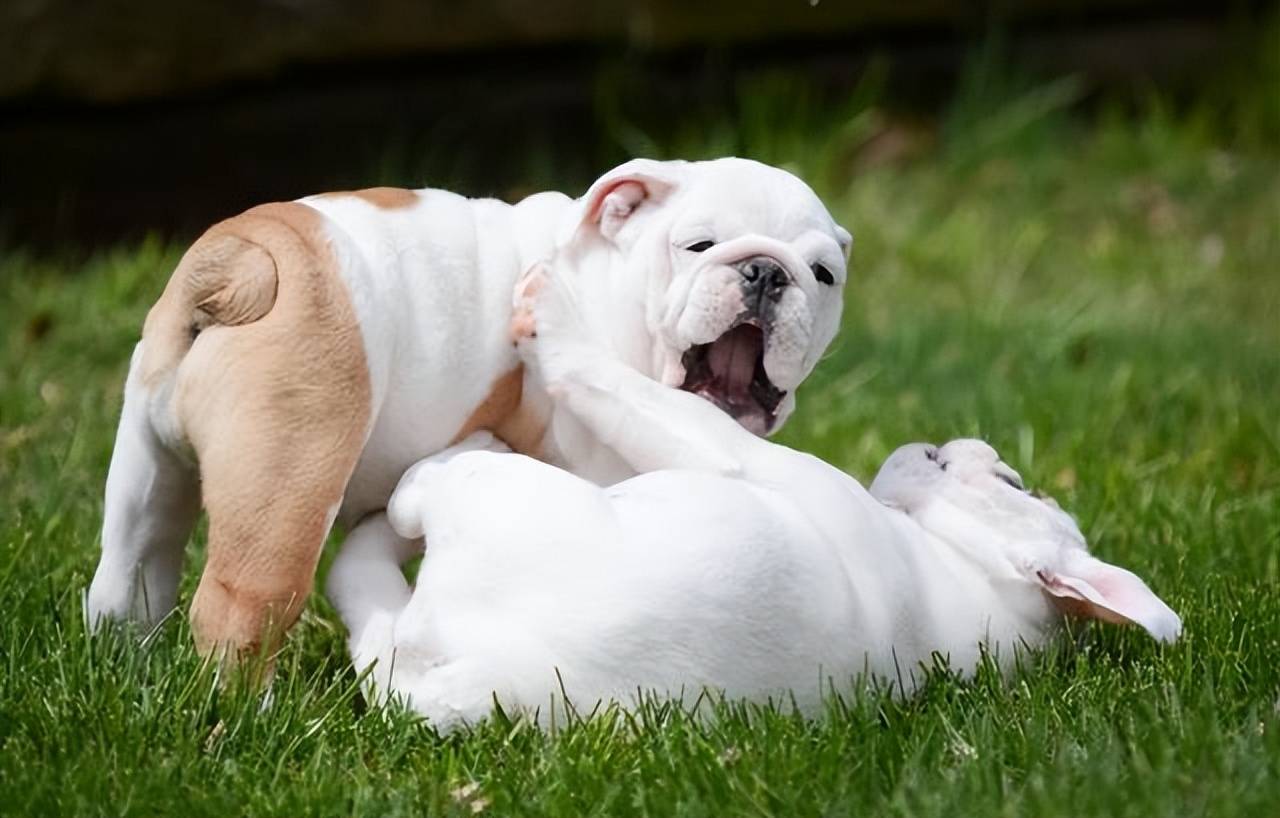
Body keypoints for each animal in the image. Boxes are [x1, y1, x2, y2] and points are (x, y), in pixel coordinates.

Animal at [87, 156, 849, 660]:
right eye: (698, 246)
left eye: (824, 275)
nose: (766, 272)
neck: (603, 281)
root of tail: (247, 257)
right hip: (287, 482)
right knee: (238, 607)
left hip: (146, 463)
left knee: (131, 566)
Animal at [322, 270, 1177, 737]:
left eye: (1010, 485)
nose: (946, 446)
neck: (970, 579)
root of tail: (479, 676)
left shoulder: (728, 450)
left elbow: (612, 382)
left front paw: (557, 319)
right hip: (398, 654)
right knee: (361, 594)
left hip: (488, 504)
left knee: (396, 521)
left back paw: (440, 469)